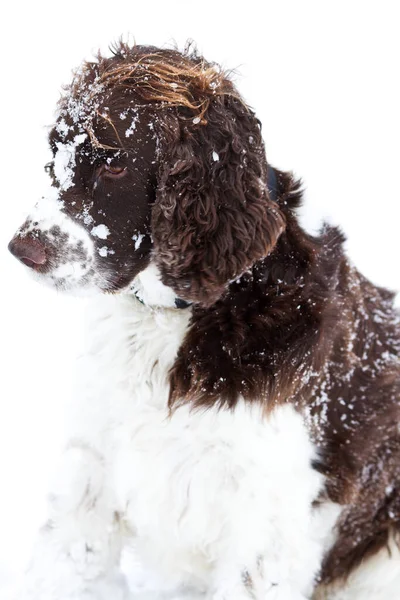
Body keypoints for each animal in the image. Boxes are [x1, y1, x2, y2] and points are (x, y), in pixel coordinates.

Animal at [7, 42, 400, 600]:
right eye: (55, 153)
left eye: (116, 166)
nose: (22, 250)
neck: (174, 317)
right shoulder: (95, 459)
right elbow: (64, 561)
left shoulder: (267, 516)